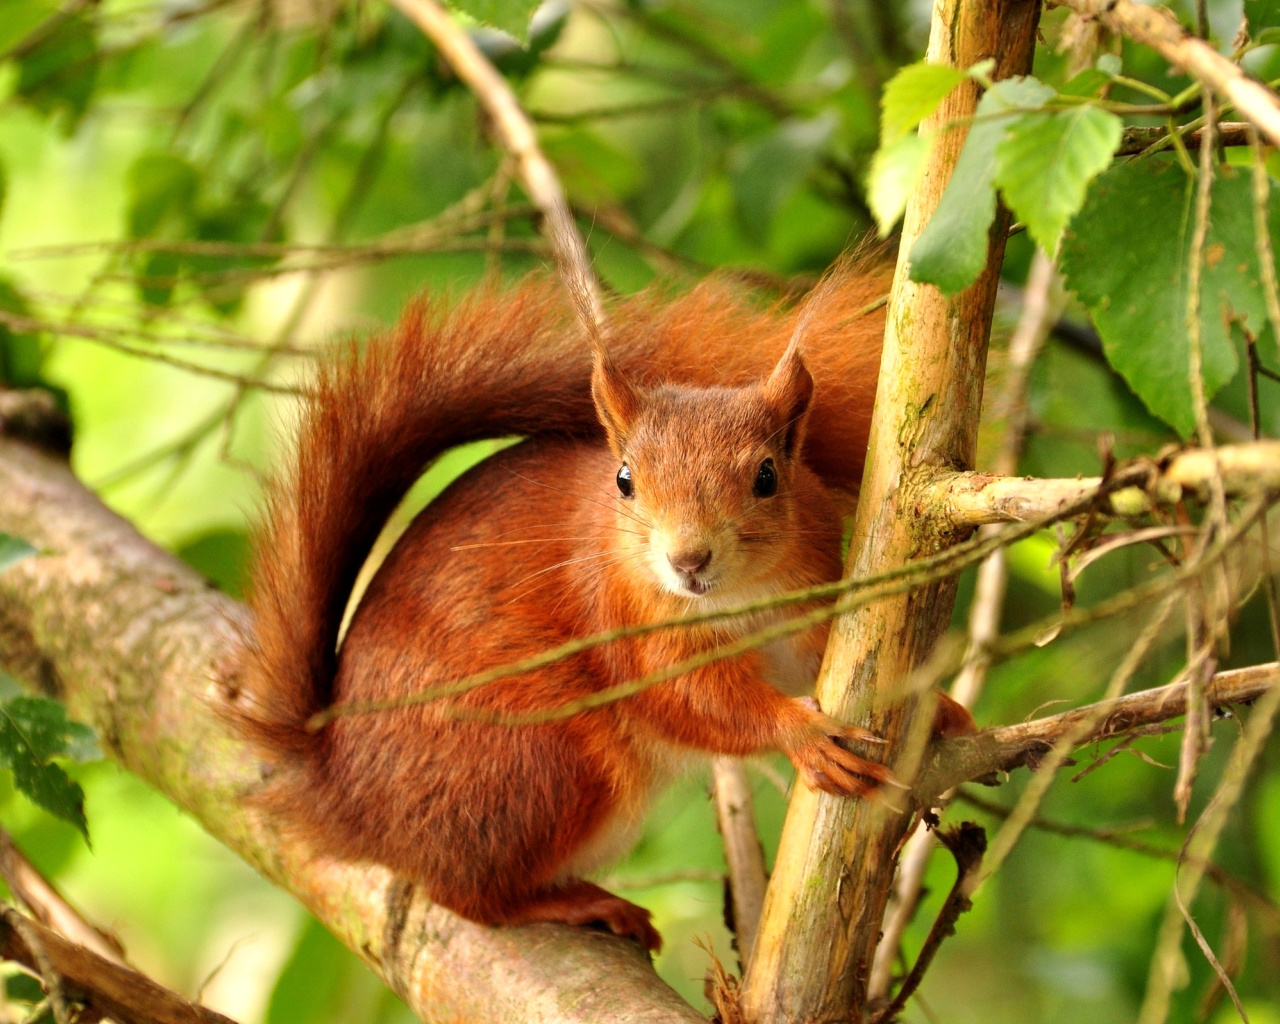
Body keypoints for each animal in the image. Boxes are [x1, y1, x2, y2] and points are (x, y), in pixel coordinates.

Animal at [235, 263, 967, 952]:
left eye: (767, 476)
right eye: (624, 480)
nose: (688, 560)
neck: (739, 597)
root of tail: (344, 797)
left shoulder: (808, 599)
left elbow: (823, 658)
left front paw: (937, 706)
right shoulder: (623, 621)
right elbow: (691, 698)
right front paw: (802, 734)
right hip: (542, 761)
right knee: (466, 896)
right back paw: (575, 902)